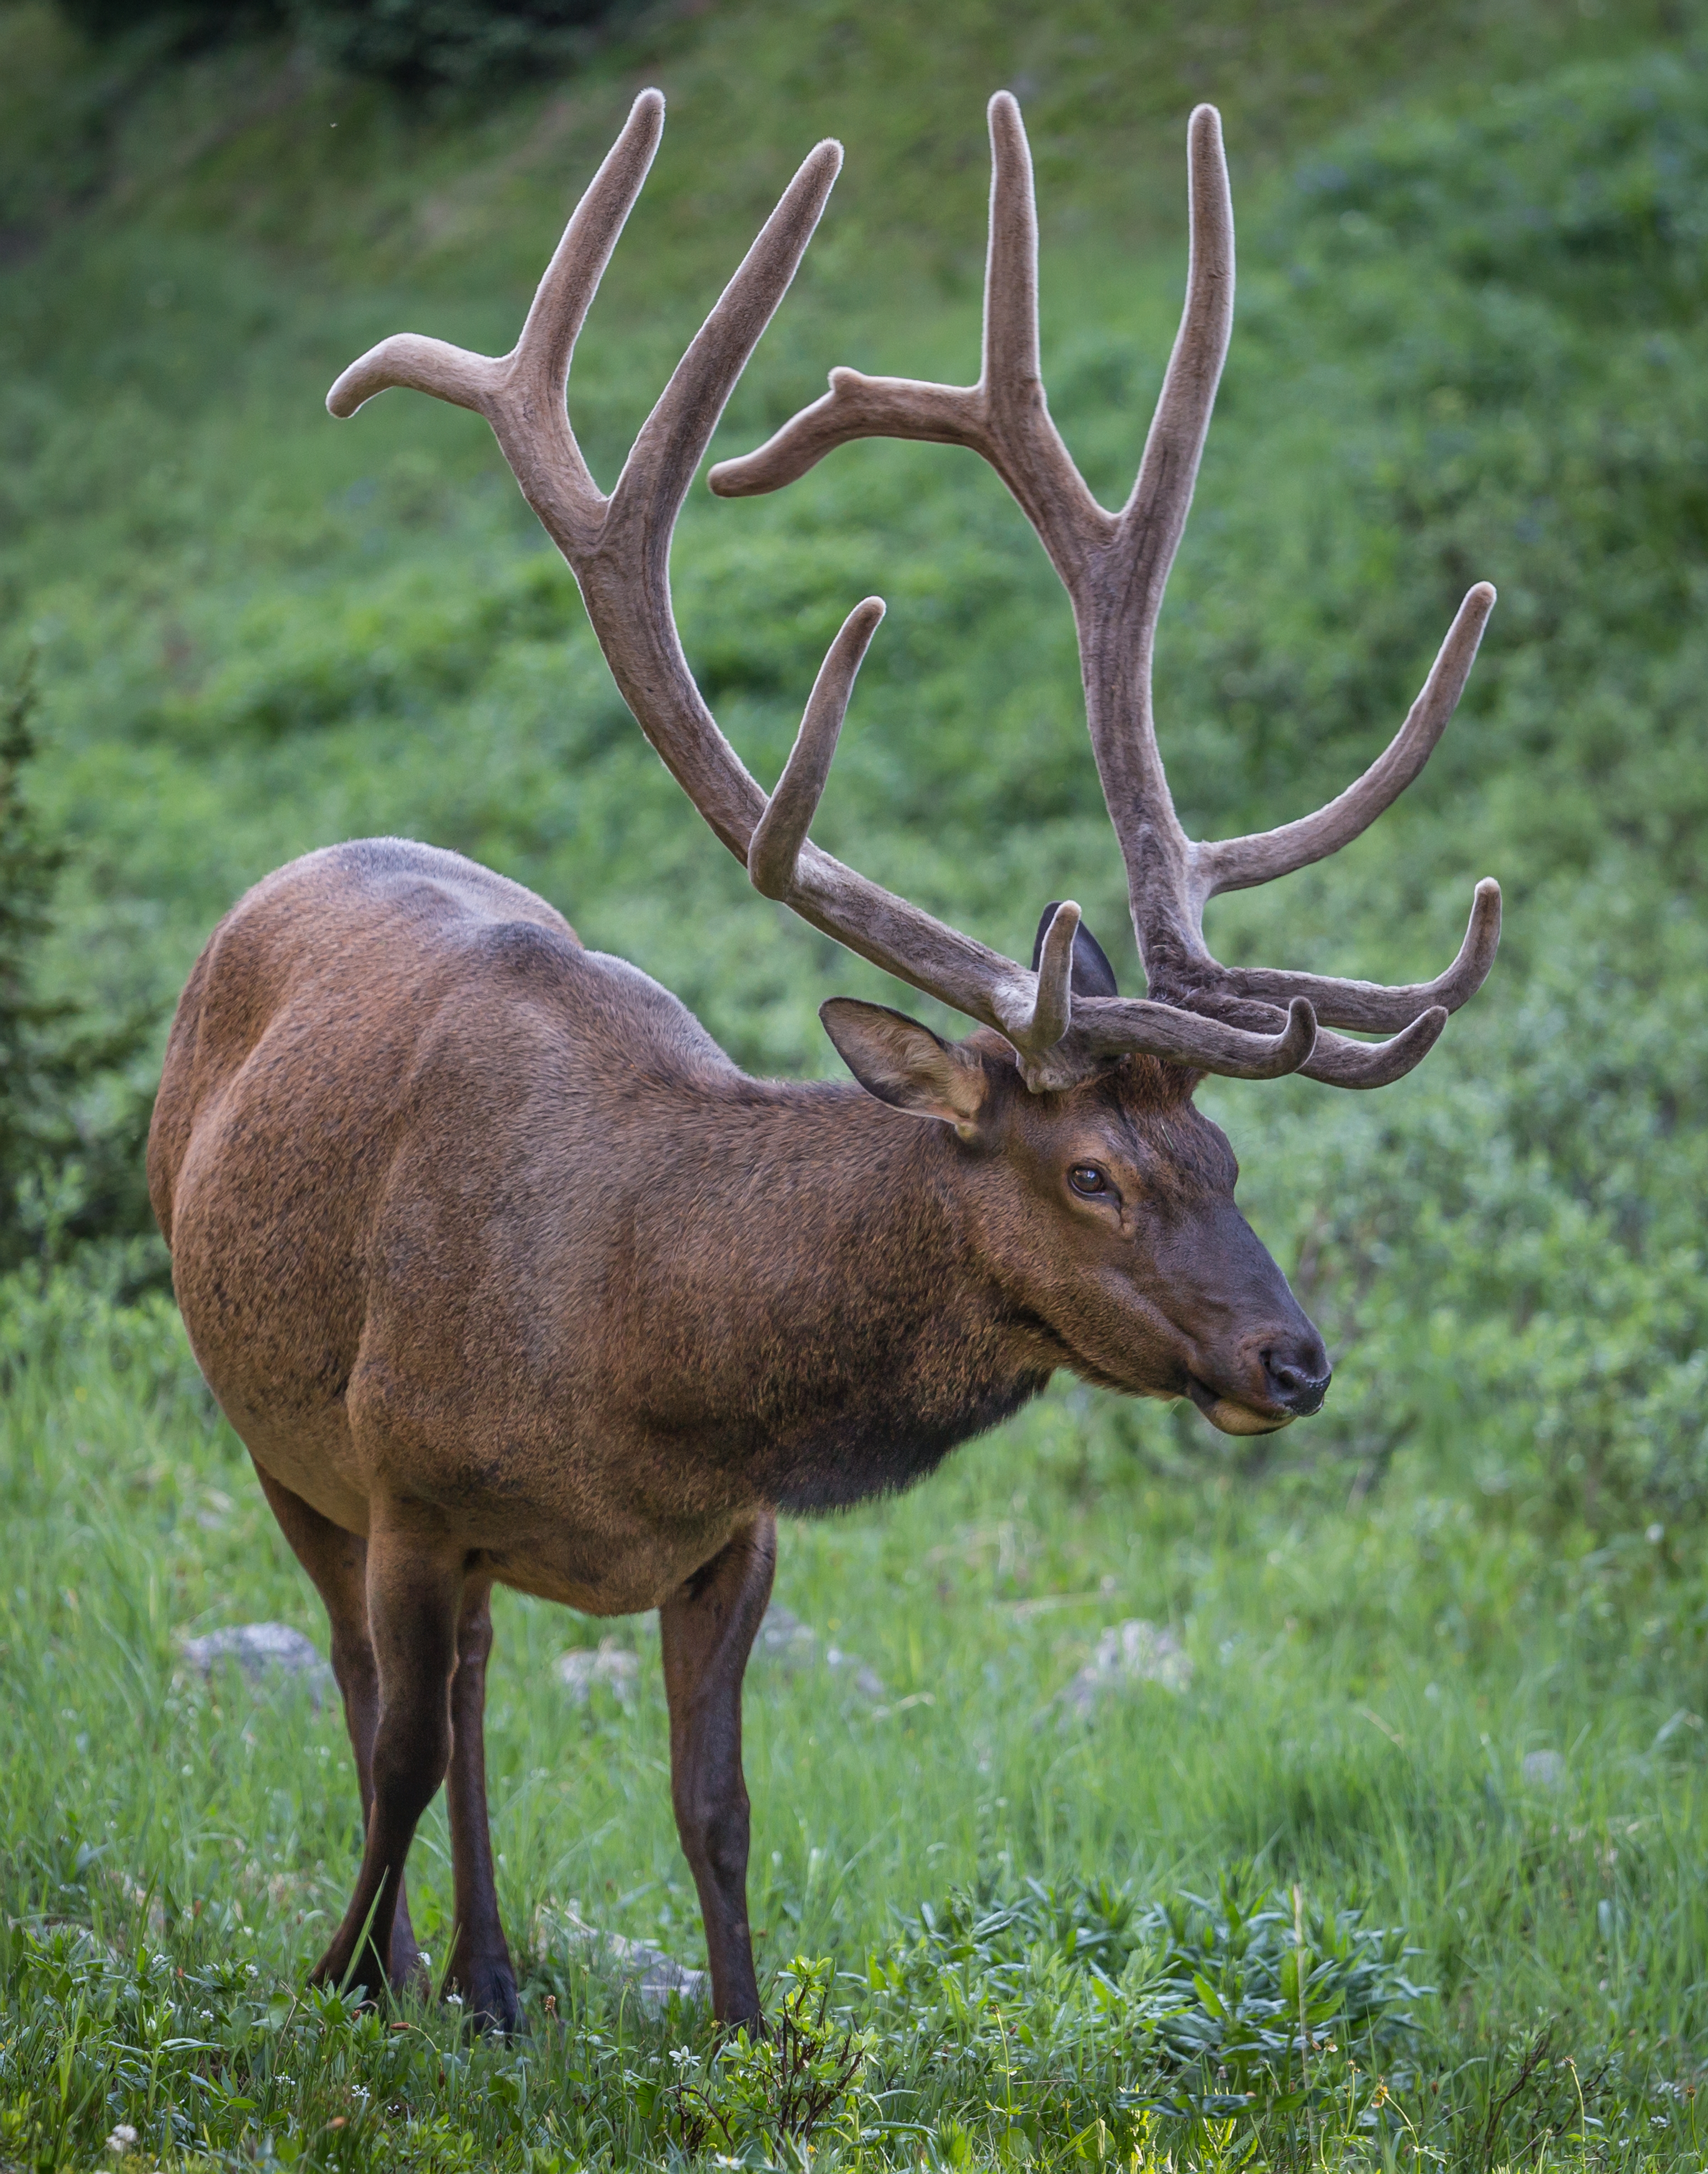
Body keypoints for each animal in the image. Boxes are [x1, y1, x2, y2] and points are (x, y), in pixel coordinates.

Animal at [147, 87, 1500, 2037]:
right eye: (1090, 1175)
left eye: (1230, 1165)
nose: (1292, 1359)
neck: (641, 1358)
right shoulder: (397, 1487)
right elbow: (389, 1756)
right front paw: (338, 1980)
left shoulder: (739, 1537)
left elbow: (713, 1803)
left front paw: (744, 2037)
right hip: (276, 1435)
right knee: (383, 1695)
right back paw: (422, 1969)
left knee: (470, 1693)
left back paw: (492, 1975)